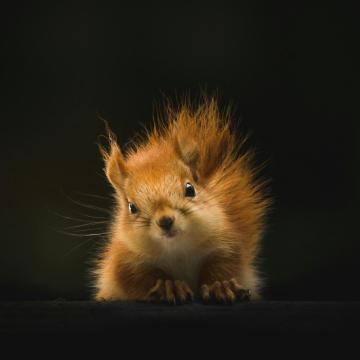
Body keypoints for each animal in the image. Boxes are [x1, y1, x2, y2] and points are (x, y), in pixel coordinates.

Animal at [93, 98, 270, 304]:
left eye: (190, 189)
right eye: (132, 207)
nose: (165, 221)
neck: (177, 249)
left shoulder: (225, 244)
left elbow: (224, 266)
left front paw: (220, 285)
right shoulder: (125, 261)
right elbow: (138, 279)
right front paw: (169, 286)